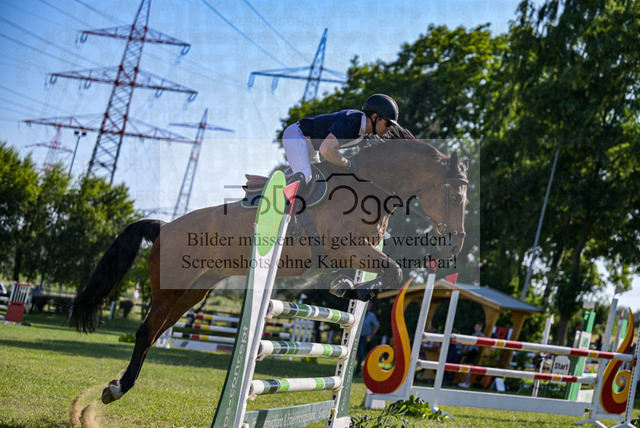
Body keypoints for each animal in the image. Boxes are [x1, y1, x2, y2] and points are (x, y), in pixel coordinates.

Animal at [69, 127, 469, 405]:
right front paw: (349, 289)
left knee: (154, 333)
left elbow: (388, 273)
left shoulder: (358, 251)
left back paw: (119, 385)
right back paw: (117, 389)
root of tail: (164, 226)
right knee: (144, 332)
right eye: (455, 196)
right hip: (170, 288)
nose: (456, 243)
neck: (370, 189)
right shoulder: (346, 247)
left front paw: (346, 288)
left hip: (193, 292)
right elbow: (395, 271)